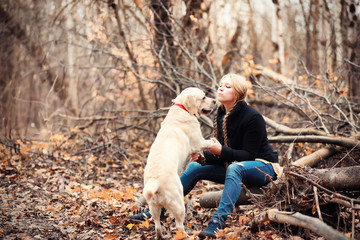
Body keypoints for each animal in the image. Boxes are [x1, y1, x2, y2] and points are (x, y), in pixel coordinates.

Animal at [143, 86, 217, 238]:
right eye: (203, 97)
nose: (215, 100)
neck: (182, 108)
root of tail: (155, 181)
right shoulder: (199, 142)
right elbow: (209, 142)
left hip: (153, 207)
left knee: (157, 226)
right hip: (178, 202)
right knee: (179, 226)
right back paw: (186, 235)